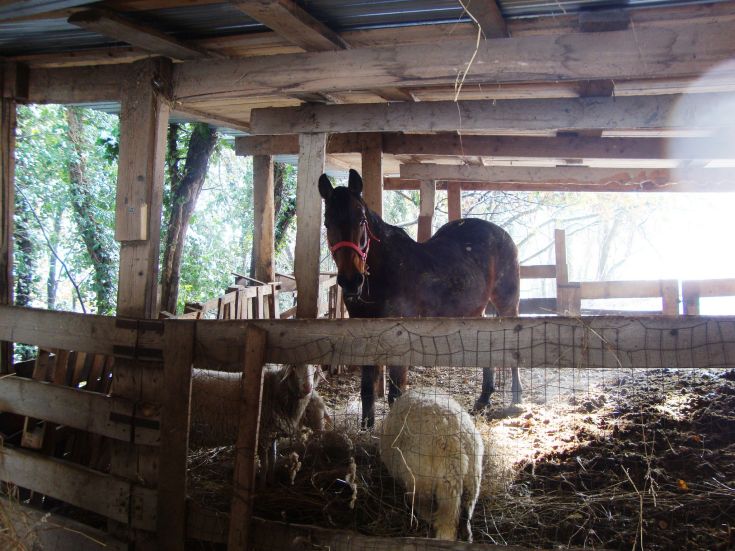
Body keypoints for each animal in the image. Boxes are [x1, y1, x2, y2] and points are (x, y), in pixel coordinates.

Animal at [189, 364, 329, 484]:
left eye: (315, 366)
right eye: (294, 367)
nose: (307, 387)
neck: (275, 389)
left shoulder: (272, 433)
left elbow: (273, 459)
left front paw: (271, 481)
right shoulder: (263, 434)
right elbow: (265, 463)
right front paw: (261, 485)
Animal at [319, 169, 521, 428]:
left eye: (361, 220)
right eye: (327, 222)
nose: (351, 280)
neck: (384, 273)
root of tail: (502, 234)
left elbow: (395, 393)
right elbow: (366, 389)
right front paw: (366, 427)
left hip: (507, 304)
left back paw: (516, 398)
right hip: (477, 310)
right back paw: (483, 400)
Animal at [379, 388, 484, 542]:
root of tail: (453, 443)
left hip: (421, 481)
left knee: (426, 509)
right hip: (472, 481)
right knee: (465, 515)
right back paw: (467, 537)